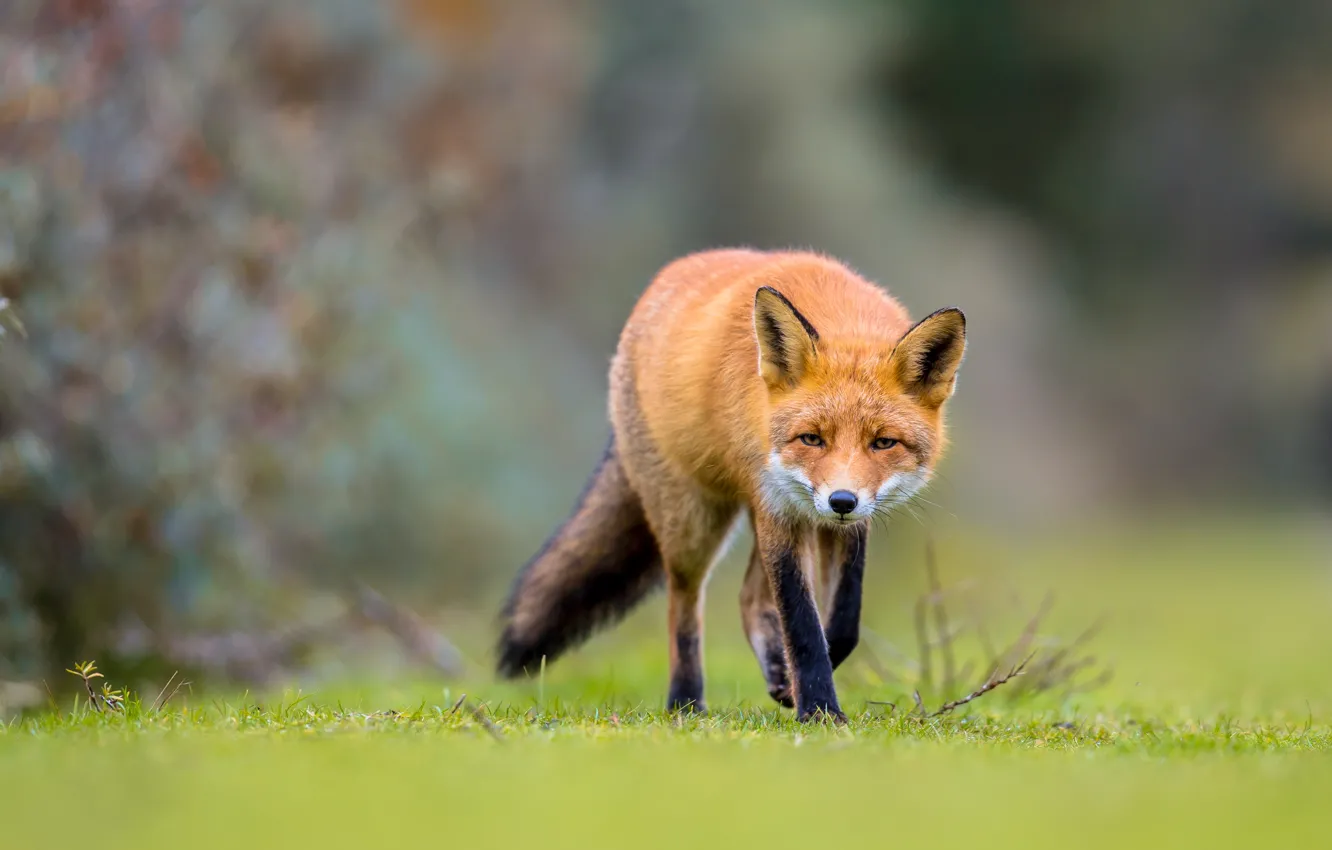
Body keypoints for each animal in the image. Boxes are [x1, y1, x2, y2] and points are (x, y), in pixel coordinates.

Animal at [495, 248, 966, 722]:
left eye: (883, 443)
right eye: (812, 439)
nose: (841, 501)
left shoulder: (842, 523)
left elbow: (844, 621)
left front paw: (798, 685)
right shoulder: (778, 507)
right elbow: (802, 625)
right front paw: (819, 710)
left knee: (748, 598)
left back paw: (772, 675)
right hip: (693, 523)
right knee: (684, 602)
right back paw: (685, 701)